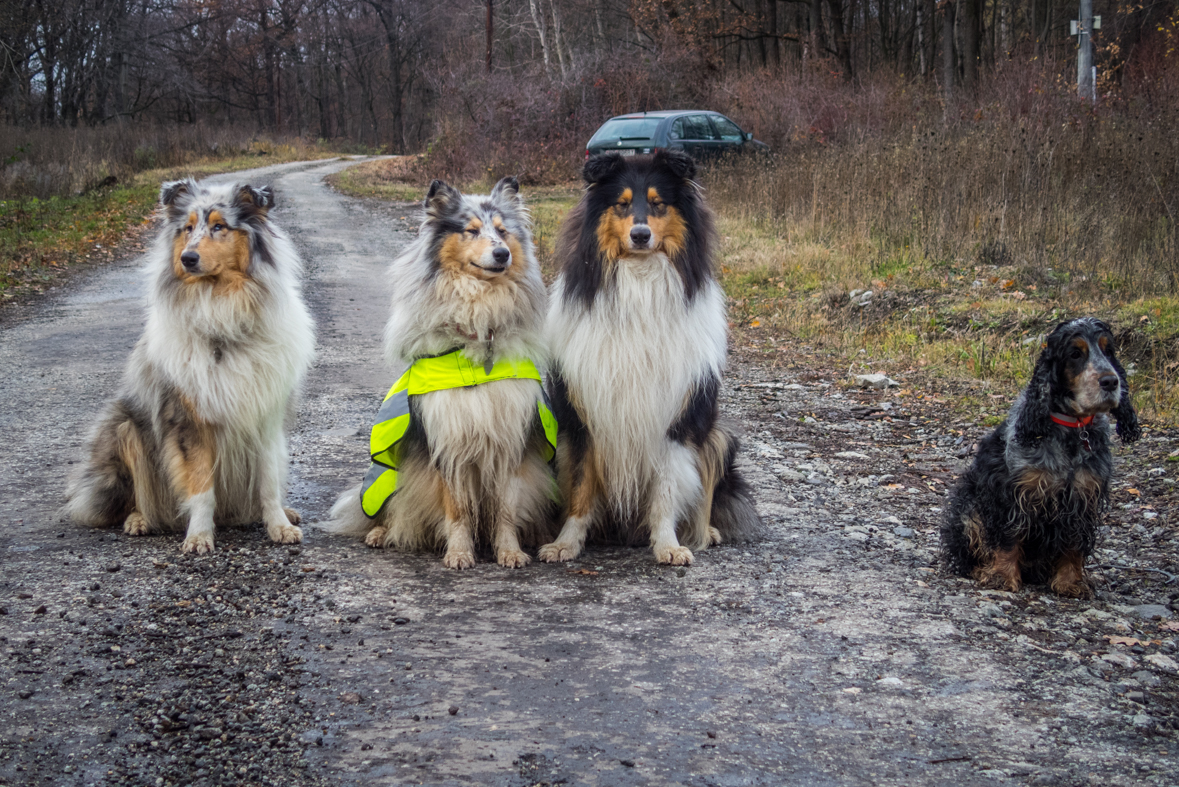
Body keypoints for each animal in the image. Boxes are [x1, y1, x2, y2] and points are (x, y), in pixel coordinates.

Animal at [325, 175, 558, 567]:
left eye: (503, 231)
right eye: (471, 230)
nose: (502, 254)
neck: (479, 339)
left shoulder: (508, 439)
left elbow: (506, 507)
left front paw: (509, 551)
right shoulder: (449, 439)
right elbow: (457, 507)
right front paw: (460, 553)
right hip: (392, 474)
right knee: (392, 509)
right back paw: (380, 533)